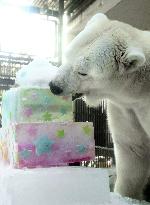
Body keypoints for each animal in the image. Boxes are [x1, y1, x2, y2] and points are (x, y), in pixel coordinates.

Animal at [49, 13, 150, 200]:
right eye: (67, 54)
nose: (54, 86)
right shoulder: (125, 108)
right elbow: (132, 148)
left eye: (83, 72)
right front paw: (124, 195)